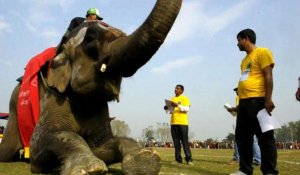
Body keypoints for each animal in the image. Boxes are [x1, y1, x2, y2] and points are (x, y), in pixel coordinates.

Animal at [0, 0, 183, 175]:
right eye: (90, 39)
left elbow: (103, 145)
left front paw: (144, 162)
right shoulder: (52, 95)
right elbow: (42, 143)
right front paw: (88, 169)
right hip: (14, 112)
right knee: (6, 152)